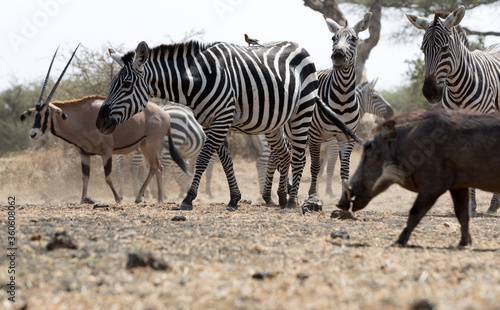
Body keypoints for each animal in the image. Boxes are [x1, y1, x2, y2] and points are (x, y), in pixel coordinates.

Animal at [94, 40, 356, 211]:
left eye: (126, 84)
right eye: (113, 83)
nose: (100, 122)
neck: (198, 79)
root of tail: (300, 46)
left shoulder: (221, 118)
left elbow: (203, 159)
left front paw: (188, 198)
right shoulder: (212, 121)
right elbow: (226, 160)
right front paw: (234, 199)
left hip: (301, 111)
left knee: (299, 156)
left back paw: (292, 201)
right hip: (274, 123)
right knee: (284, 153)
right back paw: (281, 196)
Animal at [406, 6, 500, 217]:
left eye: (444, 48)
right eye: (423, 50)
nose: (430, 92)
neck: (458, 88)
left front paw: (471, 208)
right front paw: (469, 205)